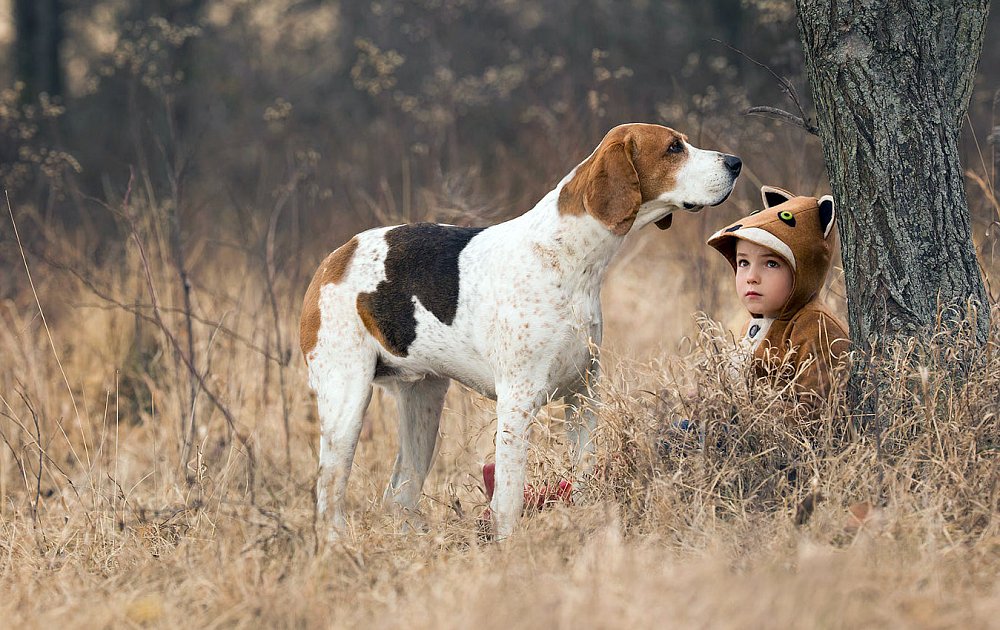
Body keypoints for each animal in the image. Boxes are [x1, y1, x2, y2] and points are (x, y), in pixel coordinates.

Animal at [300, 123, 740, 544]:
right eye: (673, 148)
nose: (735, 162)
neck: (570, 259)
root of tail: (336, 257)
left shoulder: (583, 399)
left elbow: (584, 477)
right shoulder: (517, 404)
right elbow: (508, 498)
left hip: (422, 406)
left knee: (399, 495)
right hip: (346, 405)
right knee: (328, 494)